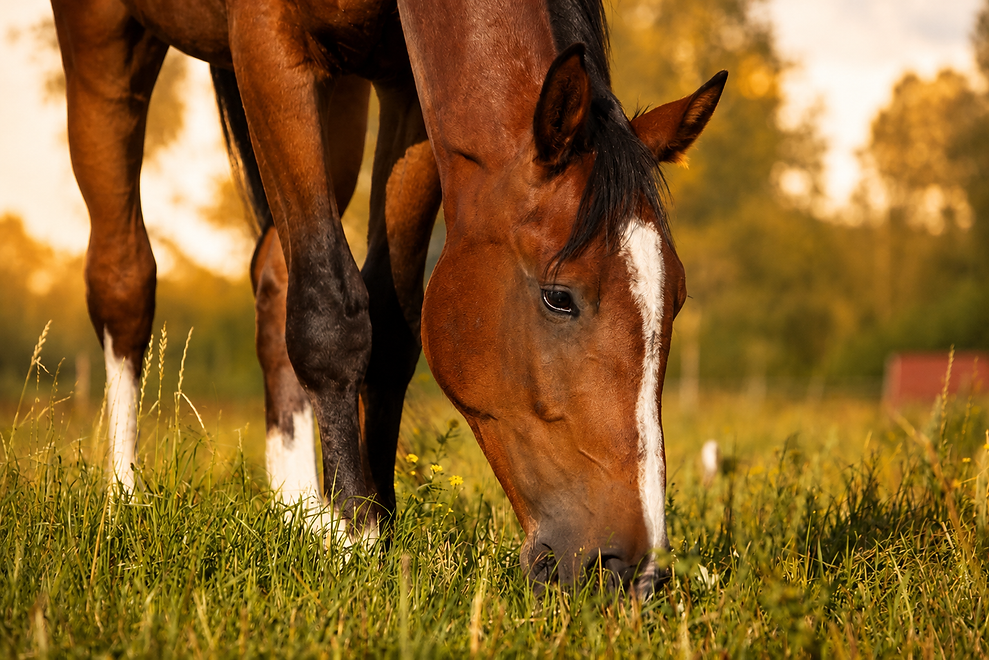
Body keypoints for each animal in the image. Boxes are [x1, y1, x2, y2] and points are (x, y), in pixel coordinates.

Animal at [51, 0, 725, 594]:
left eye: (676, 300)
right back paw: (122, 500)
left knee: (275, 275)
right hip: (106, 45)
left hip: (337, 98)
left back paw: (299, 510)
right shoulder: (266, 41)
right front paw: (357, 544)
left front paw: (371, 521)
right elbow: (331, 314)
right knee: (124, 279)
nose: (635, 571)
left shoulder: (409, 92)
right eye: (559, 297)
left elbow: (393, 325)